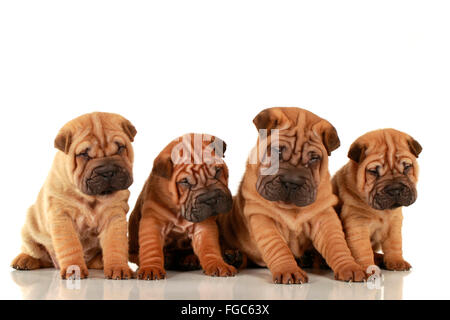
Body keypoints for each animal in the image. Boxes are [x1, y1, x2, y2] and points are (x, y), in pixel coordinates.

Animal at [11, 112, 136, 280]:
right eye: (84, 154)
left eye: (120, 148)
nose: (107, 171)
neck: (92, 197)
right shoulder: (62, 216)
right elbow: (70, 245)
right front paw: (73, 269)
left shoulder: (114, 215)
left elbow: (115, 244)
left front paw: (118, 268)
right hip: (29, 227)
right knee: (37, 253)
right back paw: (24, 260)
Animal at [128, 133, 237, 280]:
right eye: (185, 182)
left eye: (218, 171)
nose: (211, 198)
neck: (179, 211)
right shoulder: (153, 221)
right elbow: (151, 247)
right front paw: (151, 268)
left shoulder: (204, 226)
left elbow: (209, 247)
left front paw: (218, 264)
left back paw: (190, 259)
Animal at [218, 108, 366, 284]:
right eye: (278, 151)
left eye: (314, 158)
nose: (292, 182)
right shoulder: (262, 217)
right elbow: (278, 247)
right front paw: (289, 270)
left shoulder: (324, 217)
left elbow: (337, 244)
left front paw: (350, 266)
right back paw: (233, 256)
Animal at [330, 129, 422, 272]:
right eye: (373, 171)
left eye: (407, 167)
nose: (395, 189)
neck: (382, 211)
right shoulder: (357, 222)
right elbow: (363, 249)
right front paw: (368, 269)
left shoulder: (394, 222)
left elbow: (395, 243)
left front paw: (397, 262)